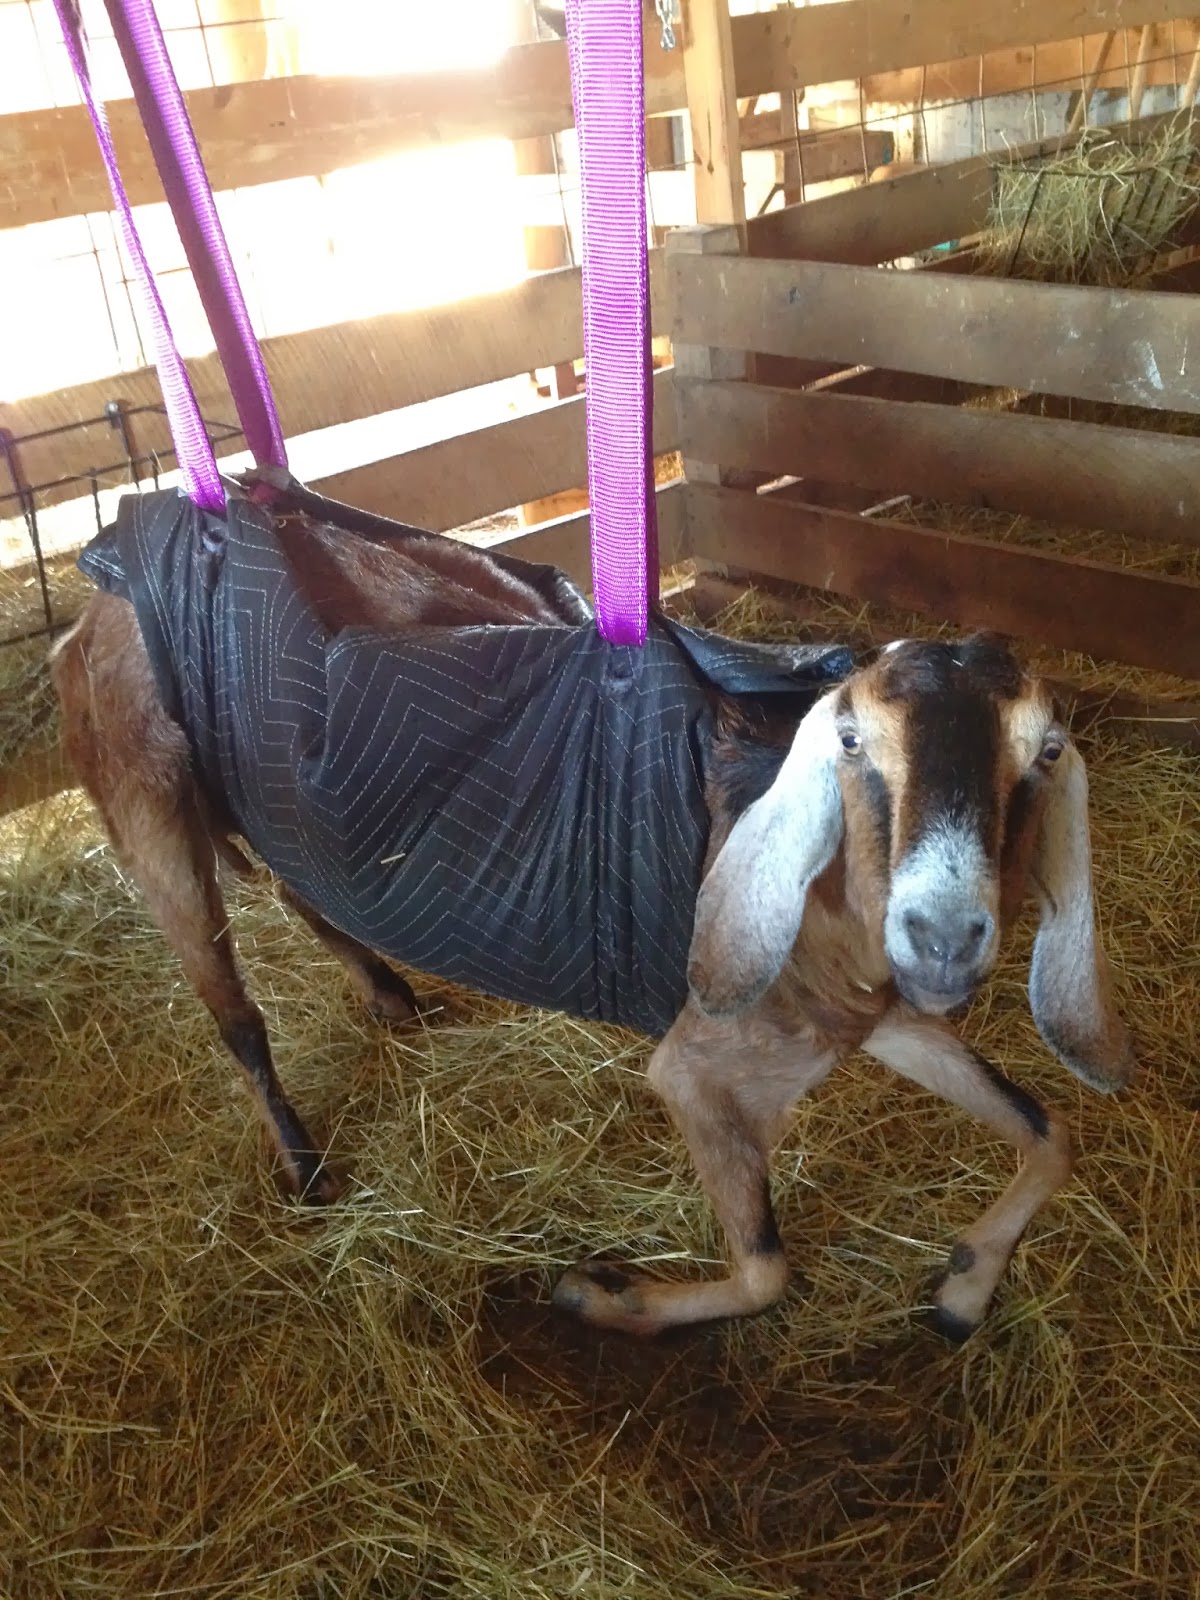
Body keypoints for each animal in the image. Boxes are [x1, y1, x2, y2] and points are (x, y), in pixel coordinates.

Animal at [51, 482, 1134, 1343]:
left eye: (1046, 752)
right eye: (852, 739)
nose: (943, 932)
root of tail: (91, 600)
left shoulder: (875, 1016)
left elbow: (1050, 1130)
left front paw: (963, 1287)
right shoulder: (703, 1066)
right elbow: (766, 1269)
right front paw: (601, 1297)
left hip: (268, 814)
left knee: (294, 887)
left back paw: (391, 995)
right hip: (147, 804)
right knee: (232, 1008)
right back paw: (307, 1163)